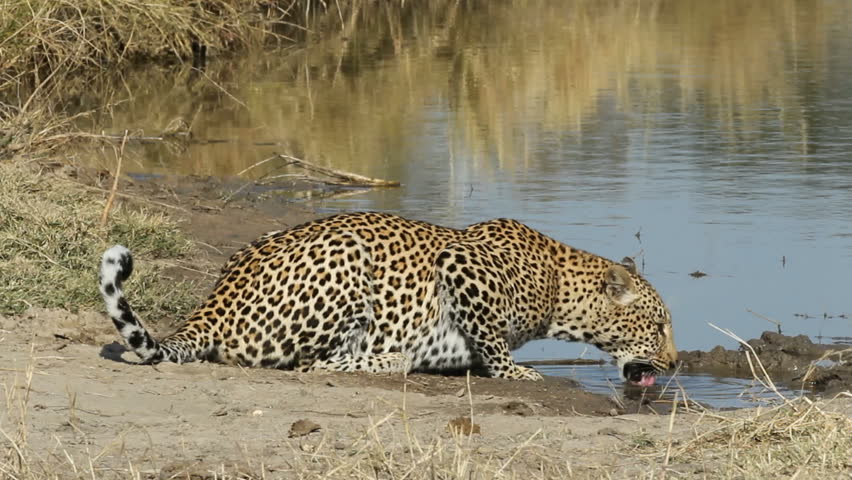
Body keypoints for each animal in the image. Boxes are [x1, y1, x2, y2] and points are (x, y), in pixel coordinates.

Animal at [99, 212, 677, 385]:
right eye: (659, 327)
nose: (674, 363)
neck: (560, 289)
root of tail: (215, 299)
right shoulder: (460, 263)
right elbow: (492, 341)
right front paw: (517, 372)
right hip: (346, 257)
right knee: (312, 364)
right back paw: (393, 358)